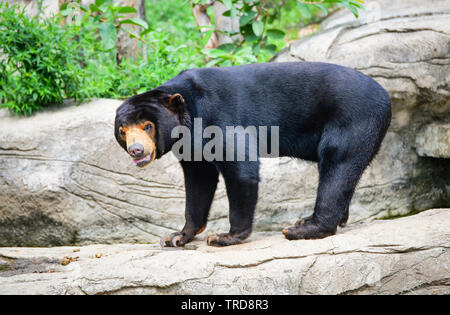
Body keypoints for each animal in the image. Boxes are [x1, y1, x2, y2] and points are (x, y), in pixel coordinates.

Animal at [113, 61, 390, 248]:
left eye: (148, 126)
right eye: (123, 131)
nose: (137, 151)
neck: (190, 115)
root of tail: (386, 97)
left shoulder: (220, 120)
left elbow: (241, 170)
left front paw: (224, 237)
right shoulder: (192, 147)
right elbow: (199, 182)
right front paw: (176, 237)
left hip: (352, 121)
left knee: (337, 166)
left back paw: (303, 228)